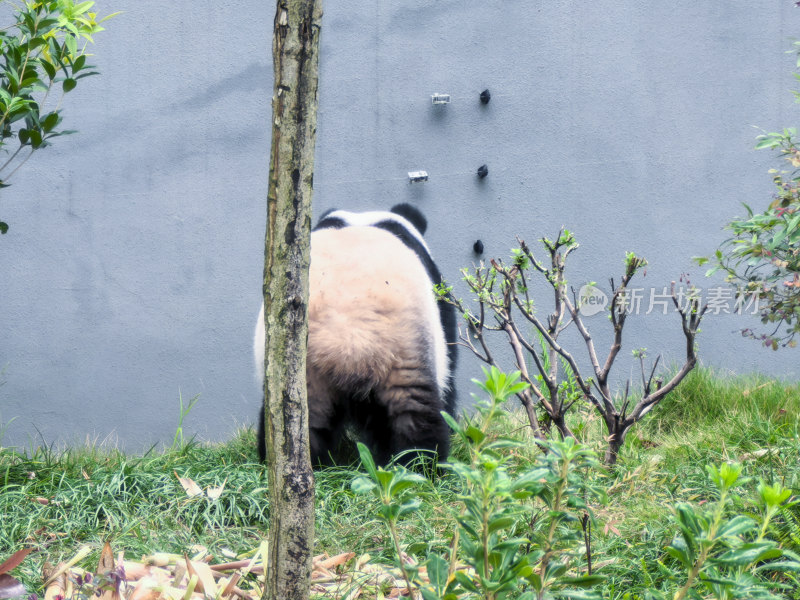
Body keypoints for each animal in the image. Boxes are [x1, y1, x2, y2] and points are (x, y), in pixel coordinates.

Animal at [253, 204, 460, 466]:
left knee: (299, 423)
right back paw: (421, 467)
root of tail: (347, 337)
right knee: (413, 417)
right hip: (403, 351)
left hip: (302, 372)